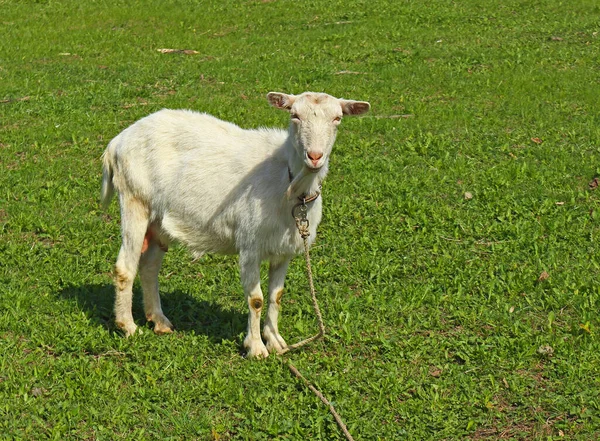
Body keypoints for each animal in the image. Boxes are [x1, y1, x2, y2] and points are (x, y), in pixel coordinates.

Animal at [99, 91, 370, 356]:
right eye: (294, 115)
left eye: (337, 118)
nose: (314, 156)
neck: (290, 183)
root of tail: (117, 143)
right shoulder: (250, 244)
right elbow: (256, 299)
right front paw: (256, 348)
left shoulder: (285, 249)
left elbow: (277, 296)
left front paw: (275, 341)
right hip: (135, 199)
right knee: (125, 267)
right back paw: (128, 326)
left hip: (158, 222)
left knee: (149, 267)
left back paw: (159, 320)